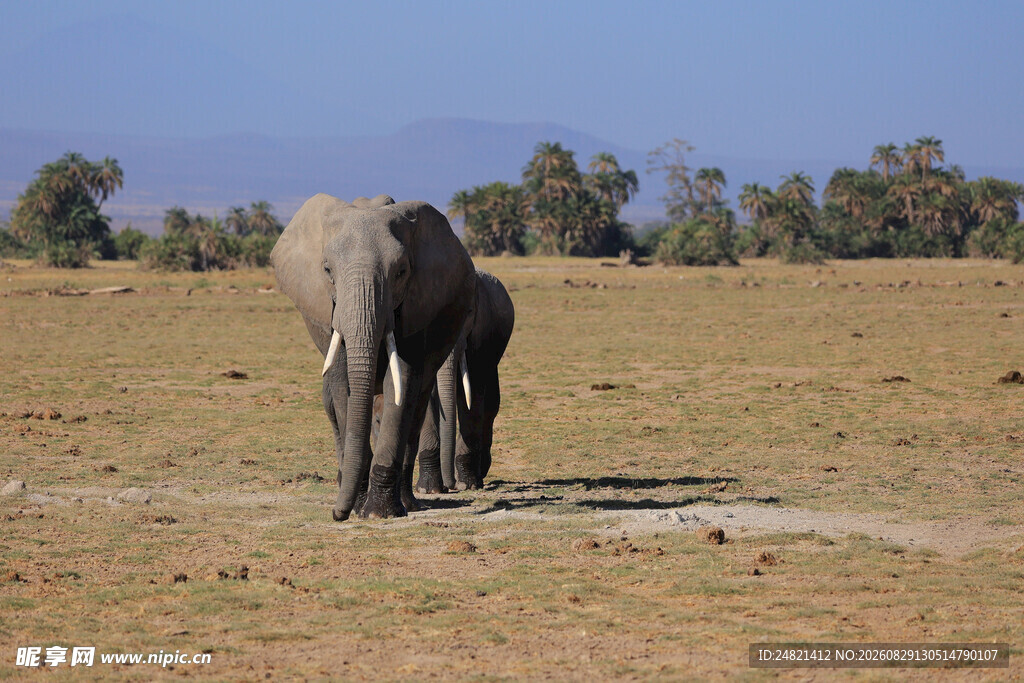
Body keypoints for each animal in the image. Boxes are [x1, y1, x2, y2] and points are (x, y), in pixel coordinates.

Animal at [270, 193, 475, 520]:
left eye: (401, 272)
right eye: (327, 271)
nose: (336, 514)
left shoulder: (414, 306)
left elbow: (401, 381)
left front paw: (378, 513)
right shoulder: (330, 314)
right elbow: (342, 387)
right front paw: (356, 506)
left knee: (416, 408)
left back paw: (408, 503)